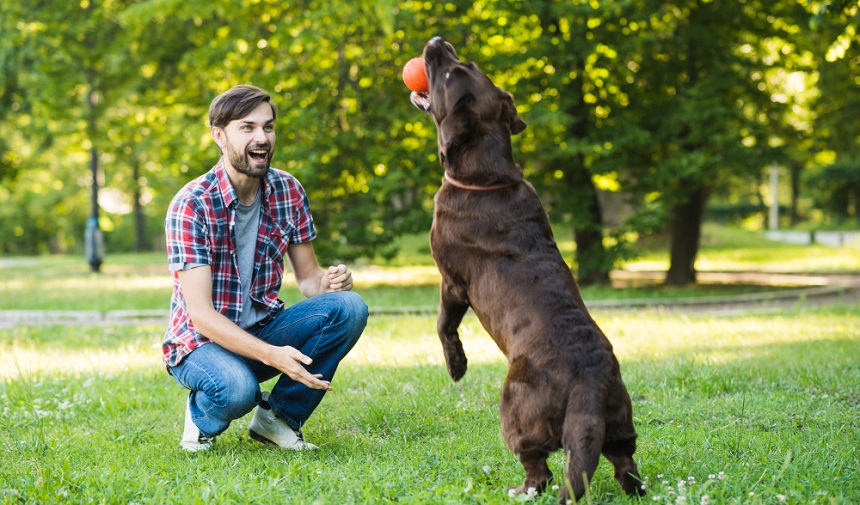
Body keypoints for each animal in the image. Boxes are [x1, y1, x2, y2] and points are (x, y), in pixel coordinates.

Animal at [410, 37, 644, 502]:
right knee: (624, 461)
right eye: (464, 63)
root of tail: (589, 381)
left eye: (449, 72)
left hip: (515, 407)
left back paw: (521, 489)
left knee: (540, 468)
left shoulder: (452, 282)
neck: (487, 176)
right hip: (620, 419)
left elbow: (444, 325)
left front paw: (456, 366)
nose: (437, 42)